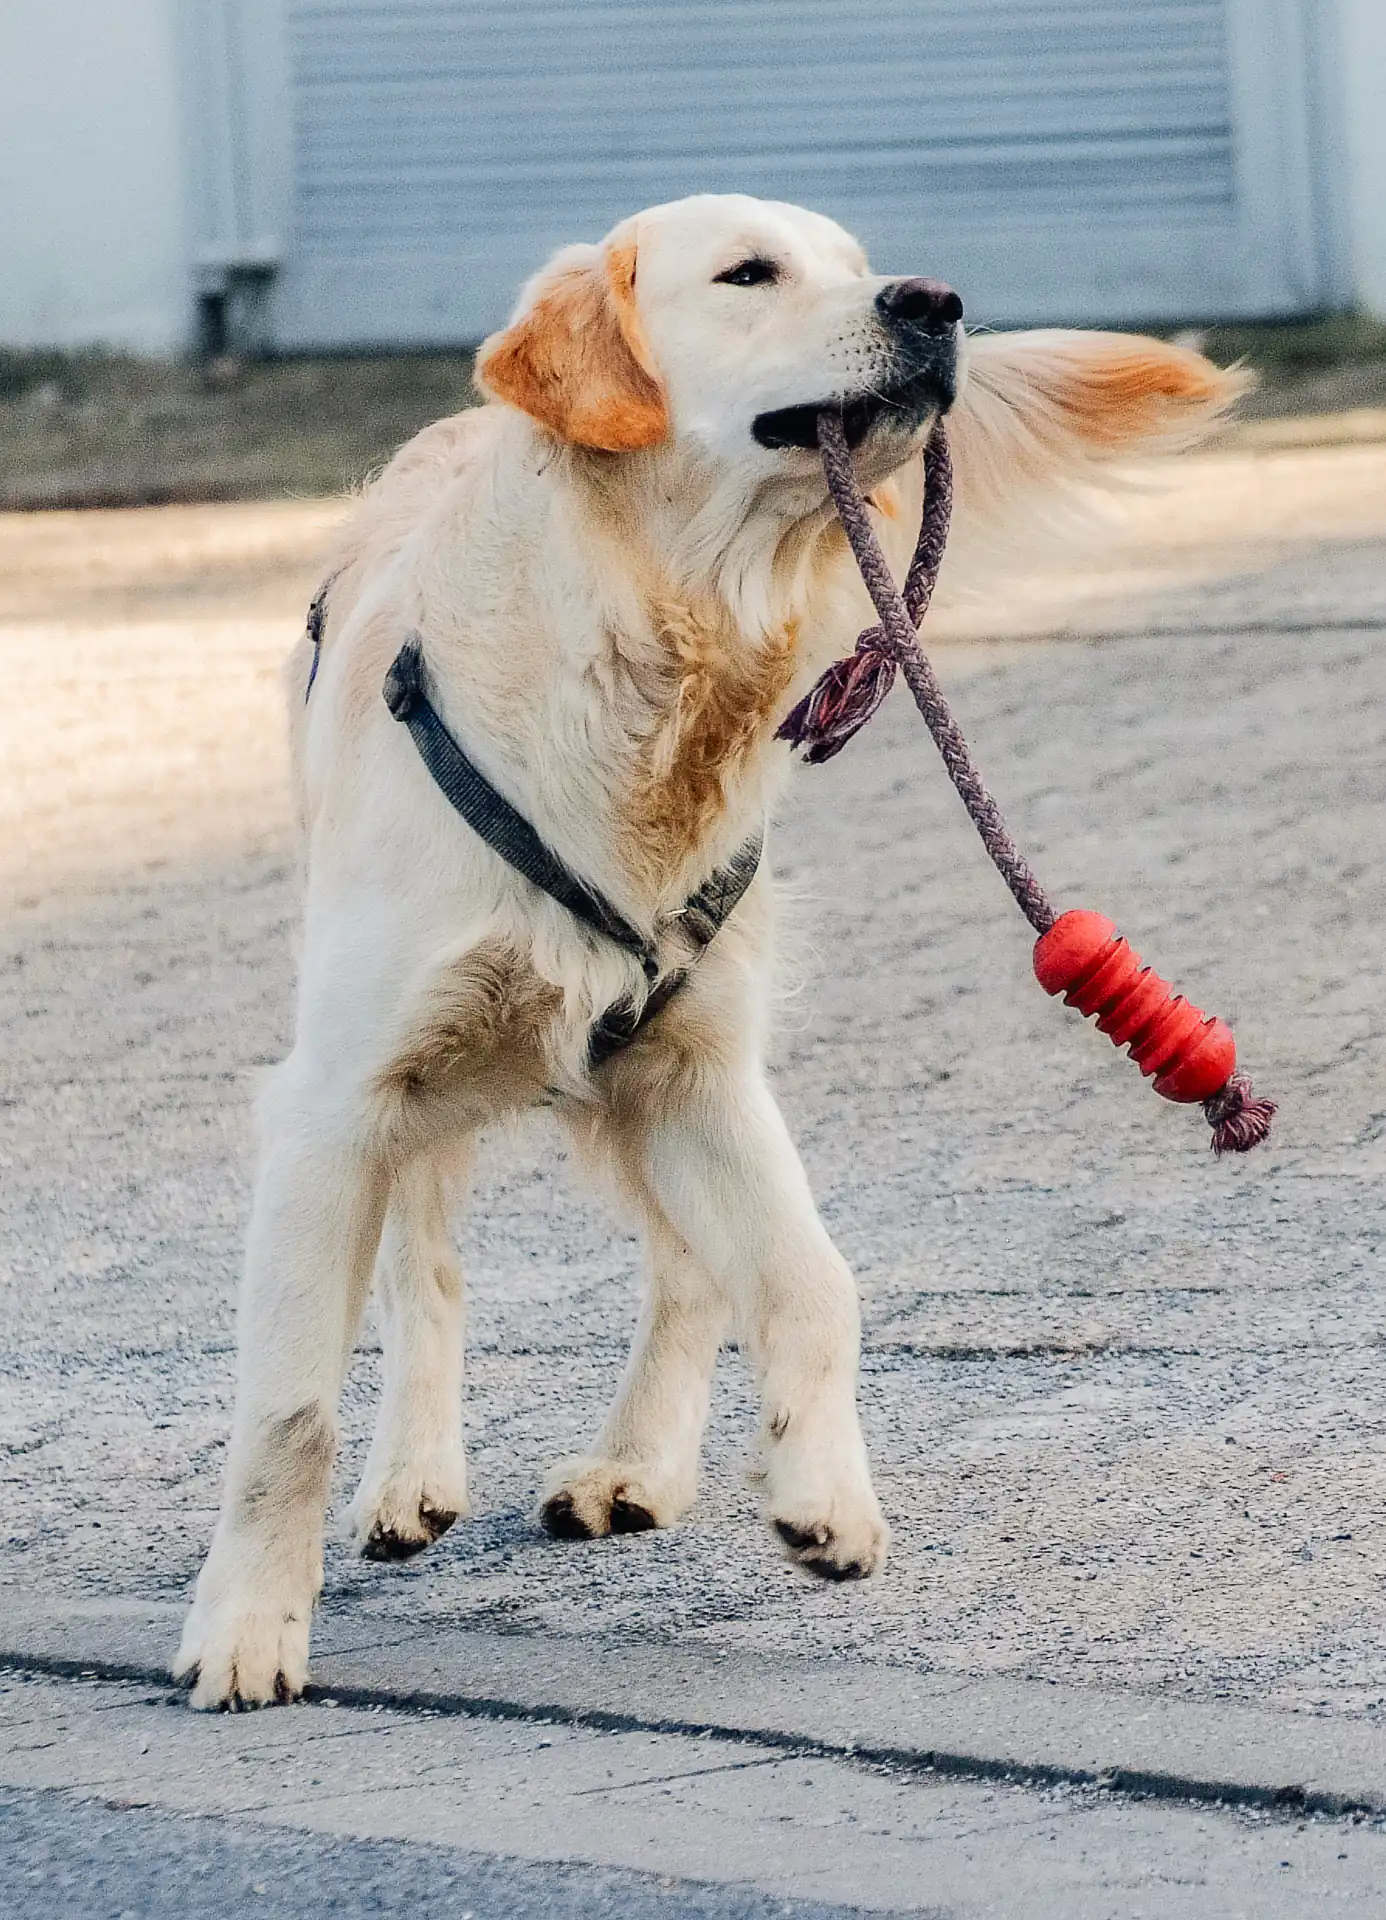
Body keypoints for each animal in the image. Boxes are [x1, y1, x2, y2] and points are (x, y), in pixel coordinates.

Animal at [174, 193, 1240, 1708]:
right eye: (748, 275)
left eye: (859, 265)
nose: (937, 302)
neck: (651, 663)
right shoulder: (336, 1103)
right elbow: (288, 1403)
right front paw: (250, 1625)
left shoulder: (699, 1071)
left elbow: (807, 1280)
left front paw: (824, 1494)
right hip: (425, 1089)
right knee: (427, 1268)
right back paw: (413, 1479)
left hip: (648, 1082)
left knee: (683, 1272)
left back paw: (634, 1464)